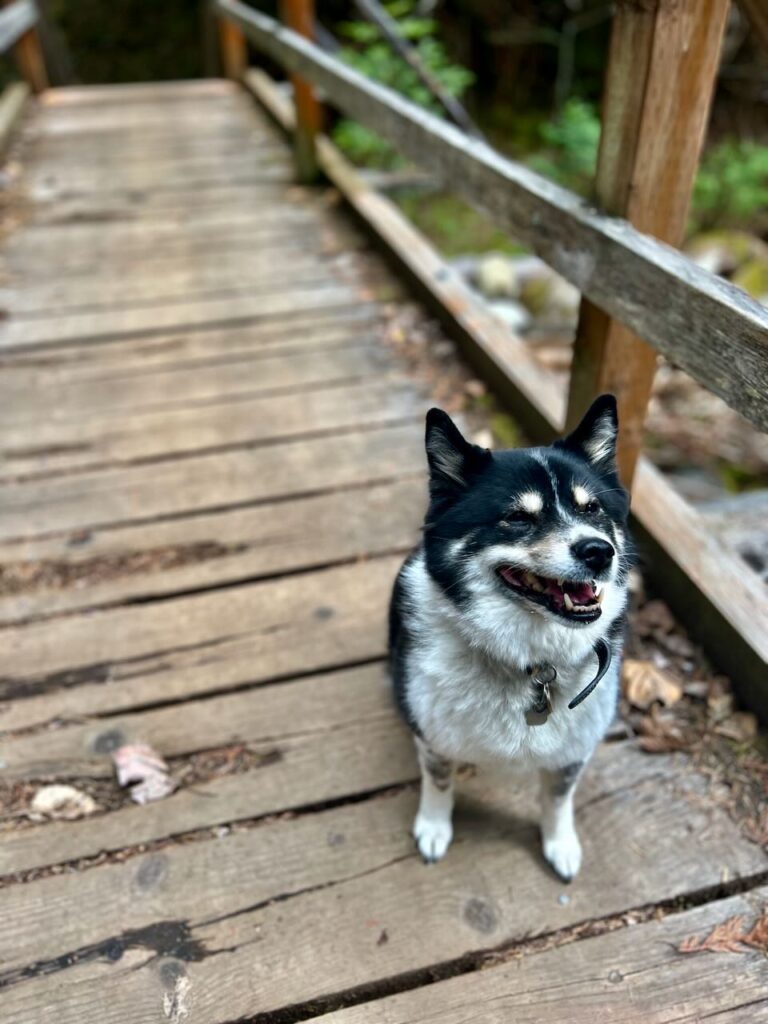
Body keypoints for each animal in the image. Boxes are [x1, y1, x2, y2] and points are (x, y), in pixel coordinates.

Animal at [391, 393, 630, 880]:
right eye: (518, 517)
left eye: (592, 509)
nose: (599, 551)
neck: (531, 661)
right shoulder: (432, 735)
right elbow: (438, 780)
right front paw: (434, 827)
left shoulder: (573, 752)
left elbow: (558, 797)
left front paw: (560, 844)